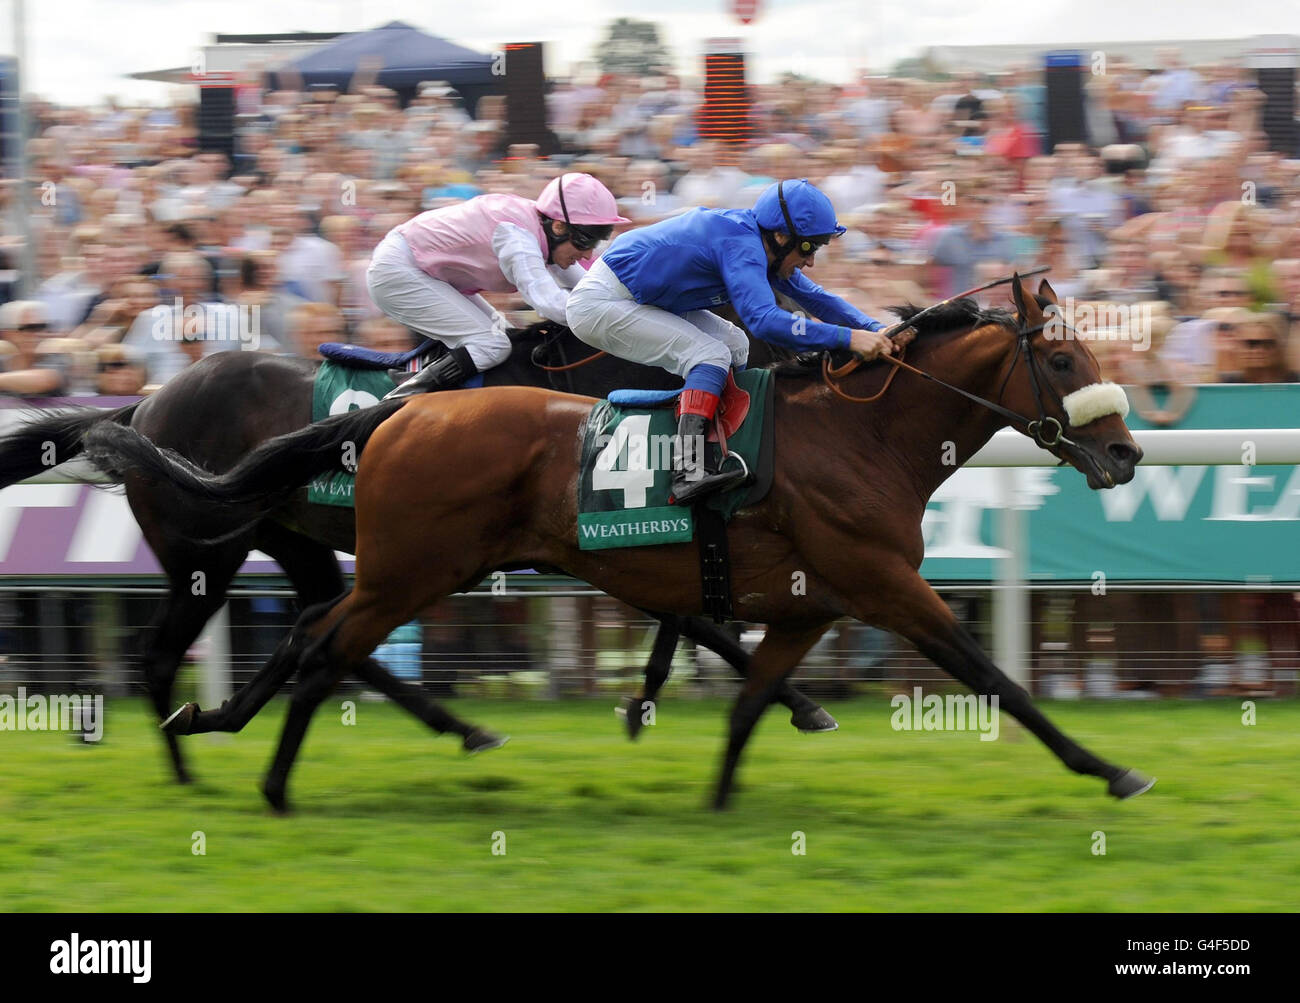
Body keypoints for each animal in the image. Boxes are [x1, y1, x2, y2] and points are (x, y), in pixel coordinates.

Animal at [0, 320, 832, 784]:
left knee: (320, 627)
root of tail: (143, 404)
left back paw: (456, 726)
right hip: (210, 556)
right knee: (165, 654)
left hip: (293, 540)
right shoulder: (564, 543)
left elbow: (692, 614)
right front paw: (787, 700)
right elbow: (699, 618)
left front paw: (676, 693)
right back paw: (183, 766)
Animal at [86, 278, 1154, 810]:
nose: (1126, 451)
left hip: (364, 560)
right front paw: (1112, 769)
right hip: (333, 565)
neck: (860, 435)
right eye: (1065, 358)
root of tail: (394, 416)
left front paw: (721, 786)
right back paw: (255, 775)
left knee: (311, 632)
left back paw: (219, 729)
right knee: (290, 650)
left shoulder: (807, 602)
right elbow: (993, 675)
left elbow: (748, 699)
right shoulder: (882, 583)